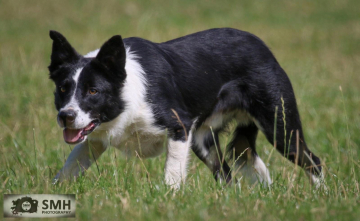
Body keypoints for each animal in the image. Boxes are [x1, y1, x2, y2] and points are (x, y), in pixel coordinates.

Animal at [48, 27, 324, 188]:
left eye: (93, 91)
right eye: (63, 89)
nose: (65, 116)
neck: (127, 95)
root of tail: (263, 47)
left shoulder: (179, 127)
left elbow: (172, 175)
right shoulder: (93, 141)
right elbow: (68, 169)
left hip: (281, 128)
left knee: (314, 161)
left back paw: (321, 195)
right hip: (203, 141)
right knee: (227, 177)